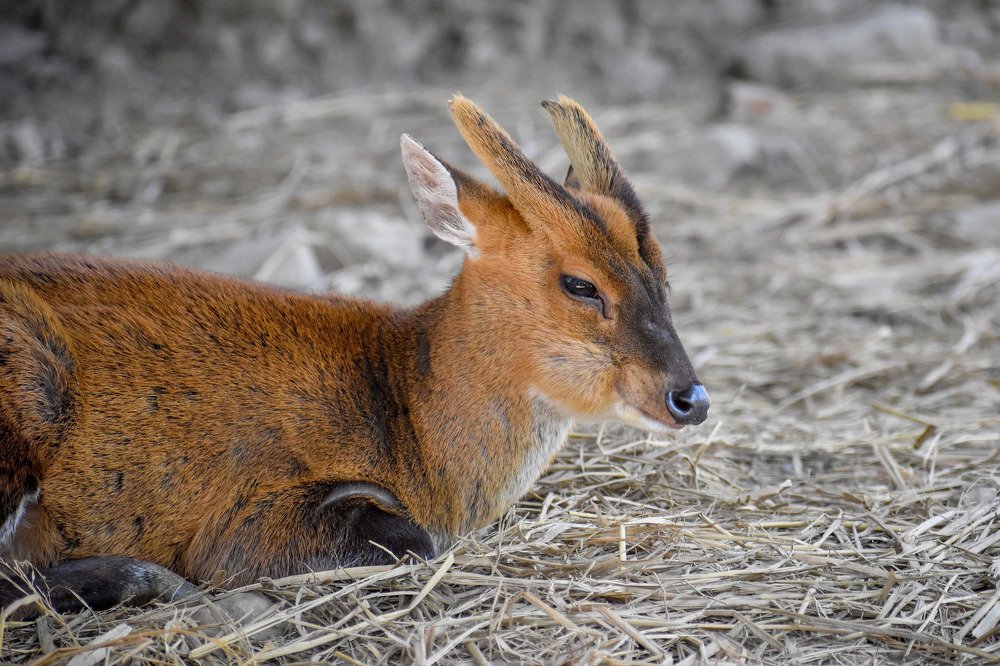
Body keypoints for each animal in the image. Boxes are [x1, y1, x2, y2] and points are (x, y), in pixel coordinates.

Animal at [0, 96, 709, 617]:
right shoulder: (244, 519)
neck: (413, 428)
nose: (690, 398)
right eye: (580, 284)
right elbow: (405, 538)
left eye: (663, 270)